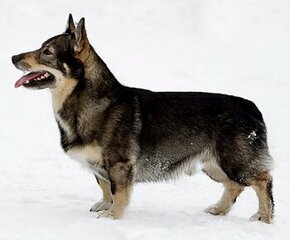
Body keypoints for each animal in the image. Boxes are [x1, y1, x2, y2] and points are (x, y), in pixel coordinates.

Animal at [11, 13, 274, 223]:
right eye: (41, 47)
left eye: (47, 52)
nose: (13, 57)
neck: (90, 100)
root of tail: (252, 107)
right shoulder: (101, 167)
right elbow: (104, 187)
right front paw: (104, 206)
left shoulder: (119, 165)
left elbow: (118, 193)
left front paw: (112, 216)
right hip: (213, 164)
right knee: (235, 186)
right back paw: (219, 210)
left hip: (234, 162)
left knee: (263, 181)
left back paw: (264, 217)